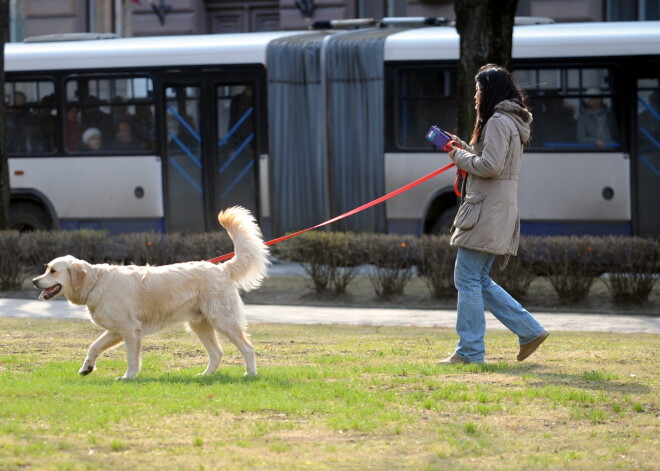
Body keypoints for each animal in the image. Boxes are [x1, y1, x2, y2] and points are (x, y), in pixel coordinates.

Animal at [32, 206, 270, 380]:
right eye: (46, 268)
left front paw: (128, 377)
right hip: (200, 324)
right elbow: (93, 346)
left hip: (223, 320)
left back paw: (250, 373)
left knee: (248, 348)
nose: (34, 281)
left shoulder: (130, 330)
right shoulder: (116, 331)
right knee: (217, 353)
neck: (96, 281)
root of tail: (221, 268)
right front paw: (87, 368)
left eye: (53, 271)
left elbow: (131, 358)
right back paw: (205, 375)